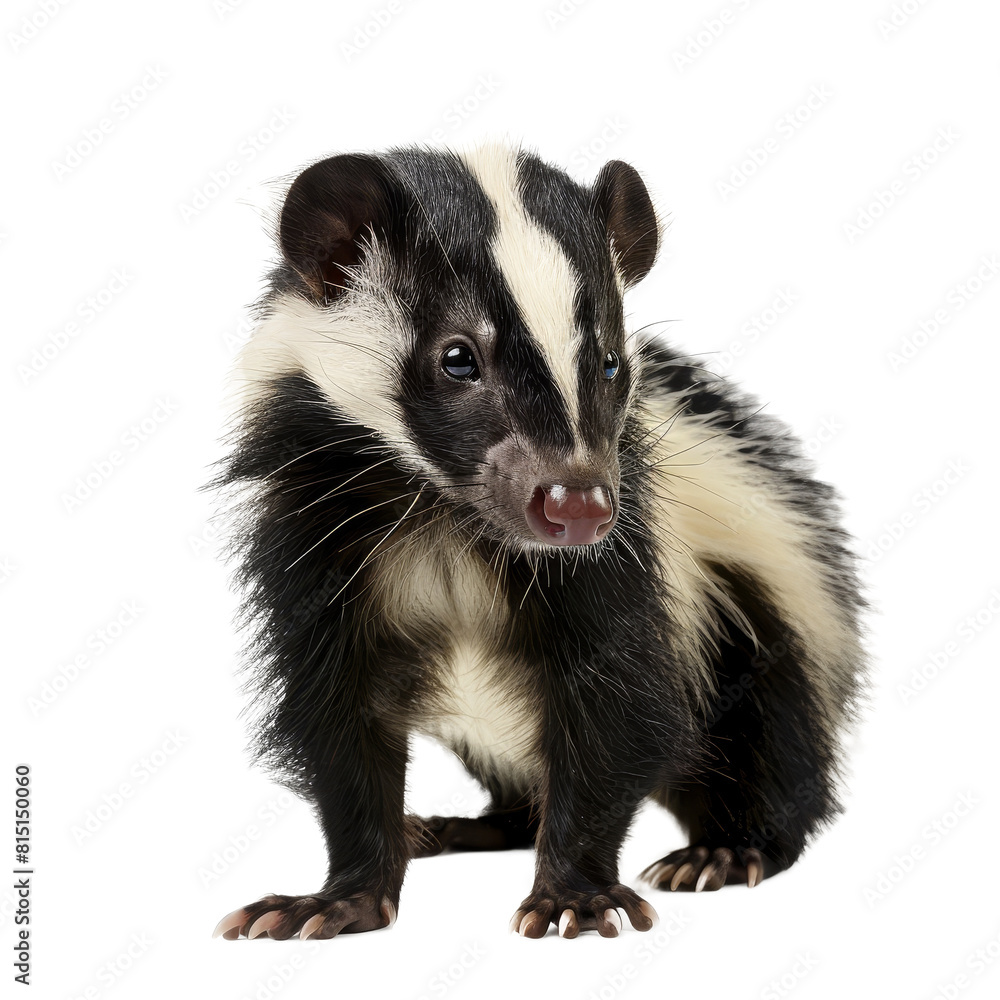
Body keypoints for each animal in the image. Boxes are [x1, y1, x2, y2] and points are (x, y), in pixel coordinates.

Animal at [213, 145, 868, 940]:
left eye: (611, 363)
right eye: (457, 358)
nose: (578, 505)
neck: (450, 520)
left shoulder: (629, 559)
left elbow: (615, 708)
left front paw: (575, 897)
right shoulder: (315, 536)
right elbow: (341, 718)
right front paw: (338, 900)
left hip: (759, 625)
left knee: (771, 743)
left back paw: (722, 851)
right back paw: (457, 827)